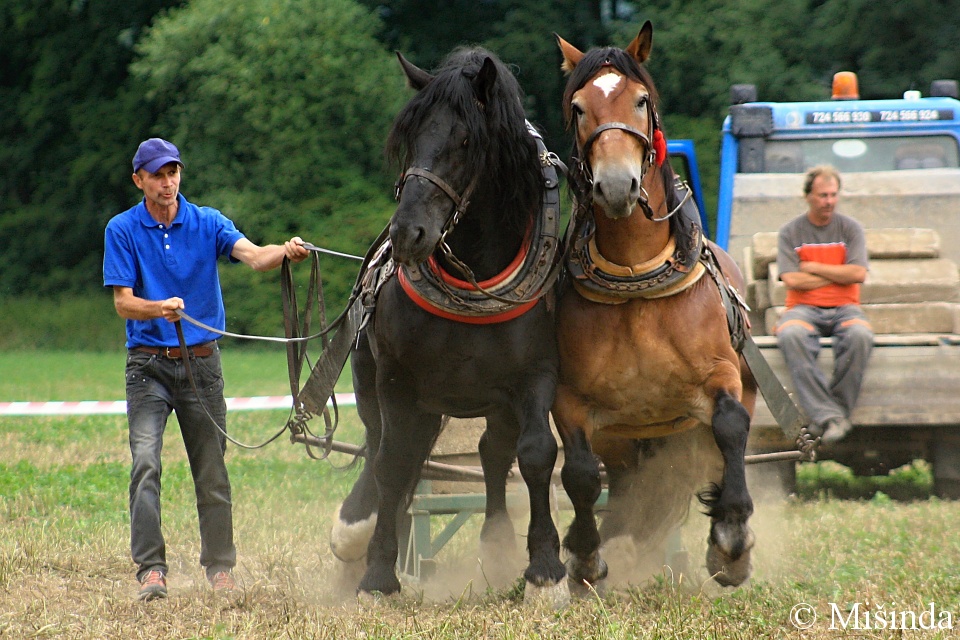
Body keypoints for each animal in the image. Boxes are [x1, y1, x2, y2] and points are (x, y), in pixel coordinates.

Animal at [330, 47, 568, 604]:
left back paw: (498, 546)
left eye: (465, 141)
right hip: (380, 391)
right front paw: (378, 574)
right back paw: (357, 530)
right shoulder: (396, 381)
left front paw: (546, 569)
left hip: (492, 404)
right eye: (411, 137)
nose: (407, 232)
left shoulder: (535, 377)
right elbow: (392, 463)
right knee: (385, 451)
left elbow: (536, 454)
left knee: (492, 453)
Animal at [552, 22, 760, 592]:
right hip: (627, 444)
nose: (616, 184)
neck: (634, 279)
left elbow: (730, 427)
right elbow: (579, 474)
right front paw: (585, 558)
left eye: (640, 100)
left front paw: (731, 541)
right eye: (578, 107)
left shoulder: (720, 375)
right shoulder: (570, 400)